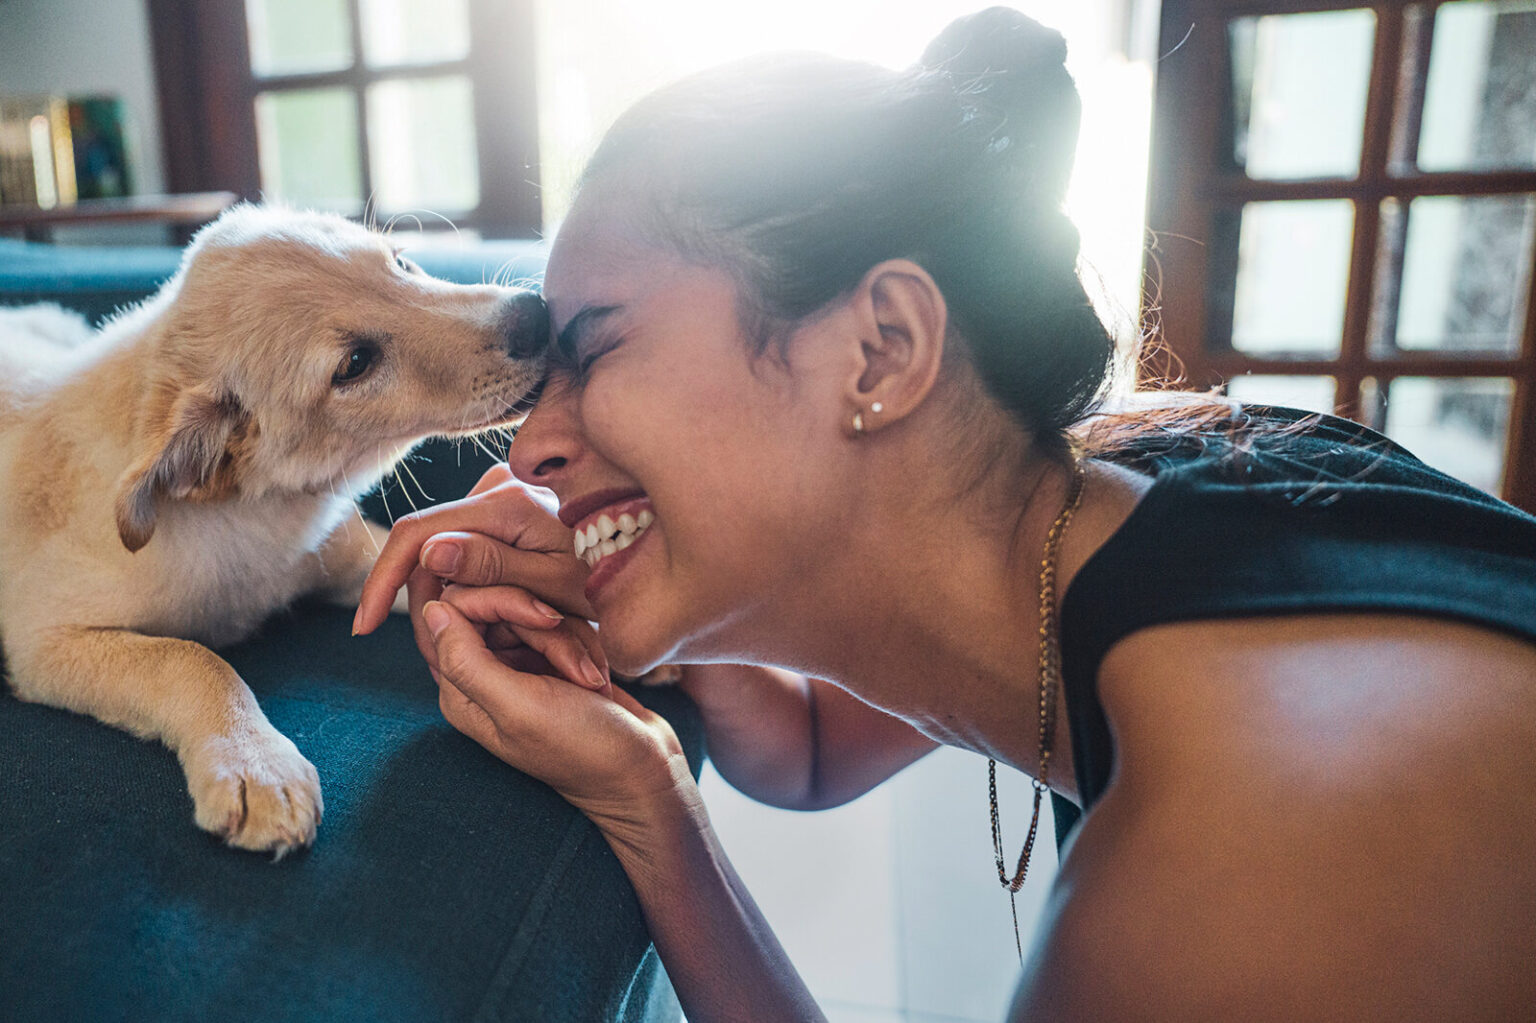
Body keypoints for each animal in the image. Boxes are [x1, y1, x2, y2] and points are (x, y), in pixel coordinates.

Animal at [0, 205, 549, 854]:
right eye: (354, 365)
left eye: (401, 263)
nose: (538, 316)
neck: (251, 514)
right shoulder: (44, 639)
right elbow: (191, 660)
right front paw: (255, 764)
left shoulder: (359, 557)